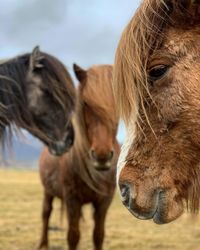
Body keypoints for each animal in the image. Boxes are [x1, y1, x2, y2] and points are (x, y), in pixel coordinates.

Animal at [38, 63, 119, 249]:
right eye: (86, 103)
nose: (102, 155)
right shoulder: (72, 199)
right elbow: (73, 236)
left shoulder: (104, 201)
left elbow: (98, 235)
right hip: (48, 191)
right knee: (46, 213)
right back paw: (43, 243)